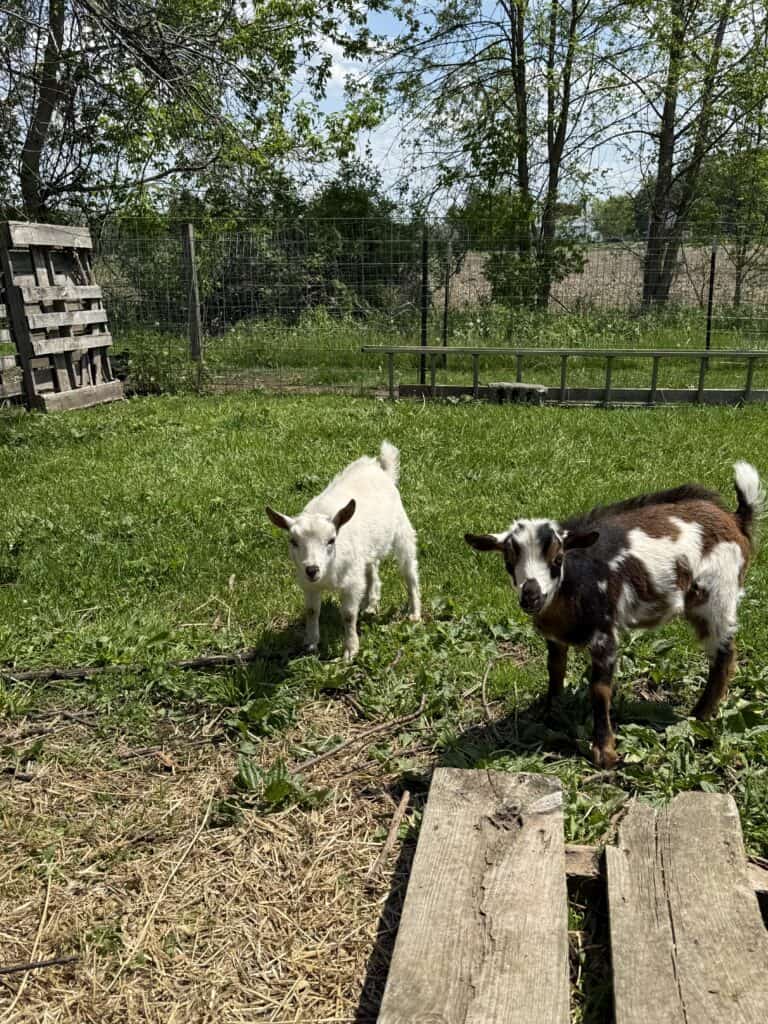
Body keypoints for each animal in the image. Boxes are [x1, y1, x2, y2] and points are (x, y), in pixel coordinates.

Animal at [266, 441, 421, 660]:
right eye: (293, 541)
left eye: (331, 540)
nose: (312, 569)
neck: (328, 572)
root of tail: (380, 468)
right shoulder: (309, 585)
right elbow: (312, 611)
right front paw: (310, 644)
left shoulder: (351, 584)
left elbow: (348, 615)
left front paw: (350, 650)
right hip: (367, 549)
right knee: (372, 570)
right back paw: (371, 605)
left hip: (402, 529)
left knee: (409, 570)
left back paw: (414, 613)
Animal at [465, 462, 763, 768]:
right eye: (508, 561)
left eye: (558, 559)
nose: (531, 596)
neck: (573, 583)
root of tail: (735, 519)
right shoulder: (555, 637)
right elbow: (555, 670)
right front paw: (551, 716)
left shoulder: (605, 634)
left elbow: (599, 689)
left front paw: (604, 752)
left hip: (716, 596)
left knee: (723, 655)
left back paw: (698, 716)